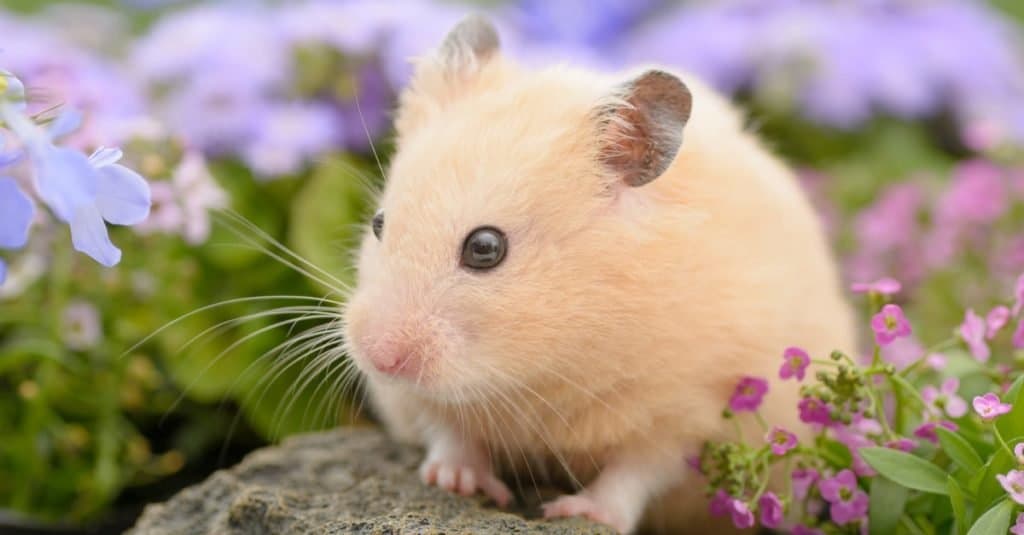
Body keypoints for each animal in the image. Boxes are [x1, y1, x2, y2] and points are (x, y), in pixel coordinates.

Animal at [344, 14, 856, 528]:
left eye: (485, 248)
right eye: (379, 224)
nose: (379, 358)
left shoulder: (689, 407)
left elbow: (637, 471)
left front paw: (577, 512)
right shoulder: (417, 399)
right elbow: (448, 428)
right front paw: (454, 480)